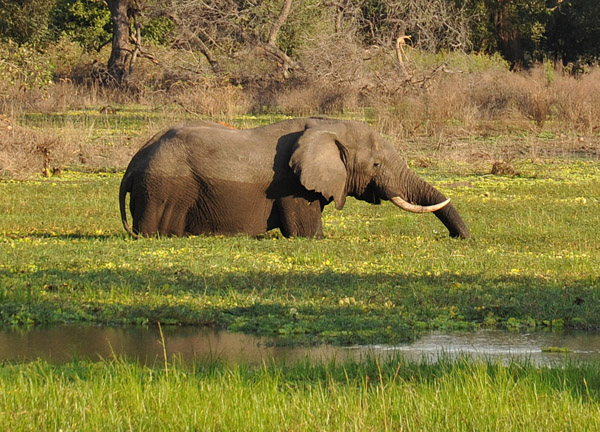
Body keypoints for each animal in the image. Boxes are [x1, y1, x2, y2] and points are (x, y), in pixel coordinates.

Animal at [119, 118, 472, 238]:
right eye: (375, 165)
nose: (458, 238)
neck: (326, 126)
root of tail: (132, 164)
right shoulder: (292, 188)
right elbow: (308, 235)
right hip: (162, 190)